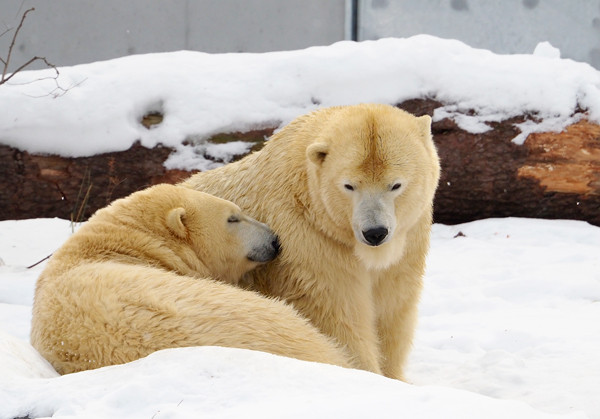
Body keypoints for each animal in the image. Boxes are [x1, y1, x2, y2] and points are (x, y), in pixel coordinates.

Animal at [183, 102, 440, 380]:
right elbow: (337, 315)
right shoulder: (308, 240)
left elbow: (393, 309)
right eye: (349, 186)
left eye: (396, 185)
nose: (375, 232)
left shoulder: (408, 240)